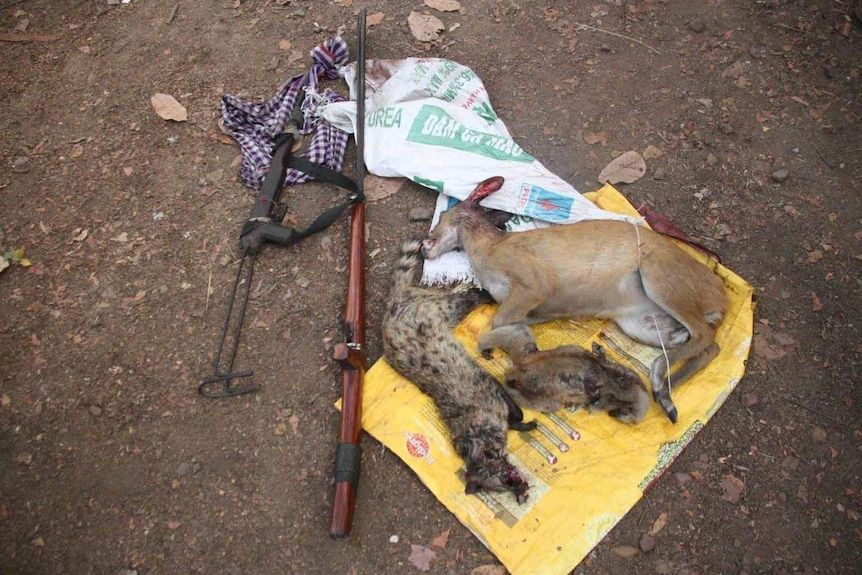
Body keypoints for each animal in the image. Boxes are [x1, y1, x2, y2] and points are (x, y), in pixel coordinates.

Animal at [424, 177, 728, 424]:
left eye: (442, 215)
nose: (425, 244)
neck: (488, 250)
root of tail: (721, 298)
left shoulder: (535, 282)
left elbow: (499, 320)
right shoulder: (537, 309)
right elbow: (514, 323)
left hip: (660, 275)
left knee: (703, 334)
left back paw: (660, 386)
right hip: (641, 323)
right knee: (706, 345)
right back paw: (666, 393)